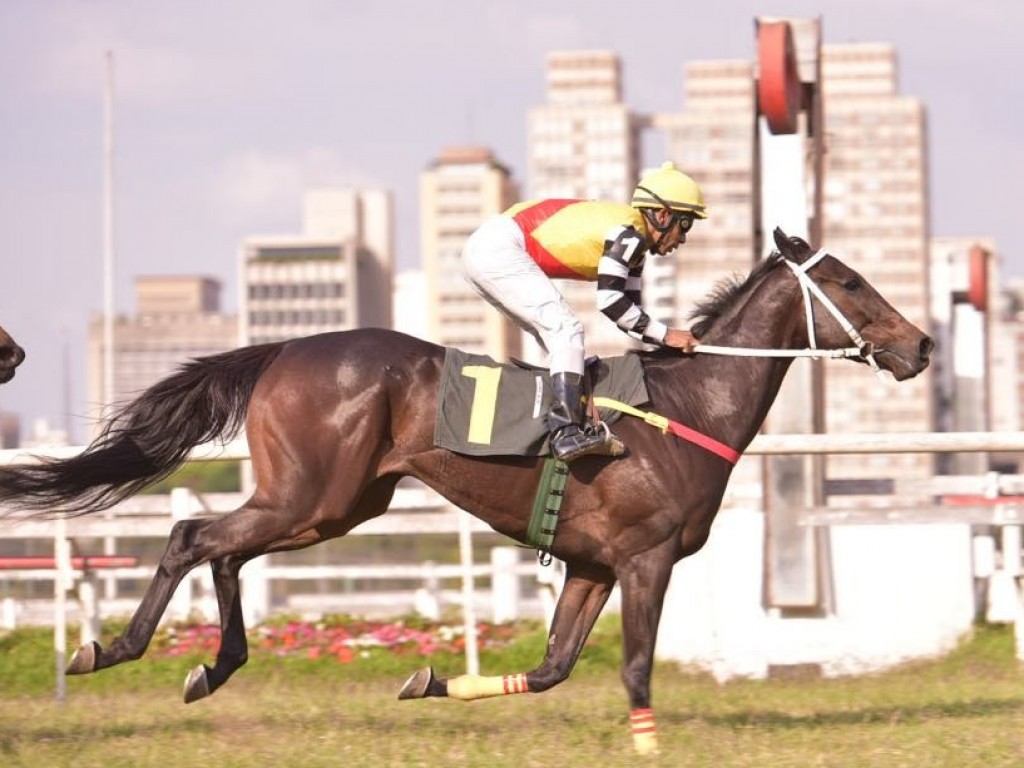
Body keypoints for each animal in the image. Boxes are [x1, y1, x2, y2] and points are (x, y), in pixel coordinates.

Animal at [0, 230, 933, 757]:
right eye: (850, 282)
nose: (921, 345)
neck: (687, 406)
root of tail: (284, 348)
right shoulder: (646, 558)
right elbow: (633, 664)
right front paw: (648, 745)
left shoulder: (593, 565)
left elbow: (554, 668)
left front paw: (428, 683)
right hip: (314, 495)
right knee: (193, 536)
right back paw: (113, 650)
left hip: (333, 505)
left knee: (225, 550)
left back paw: (214, 666)